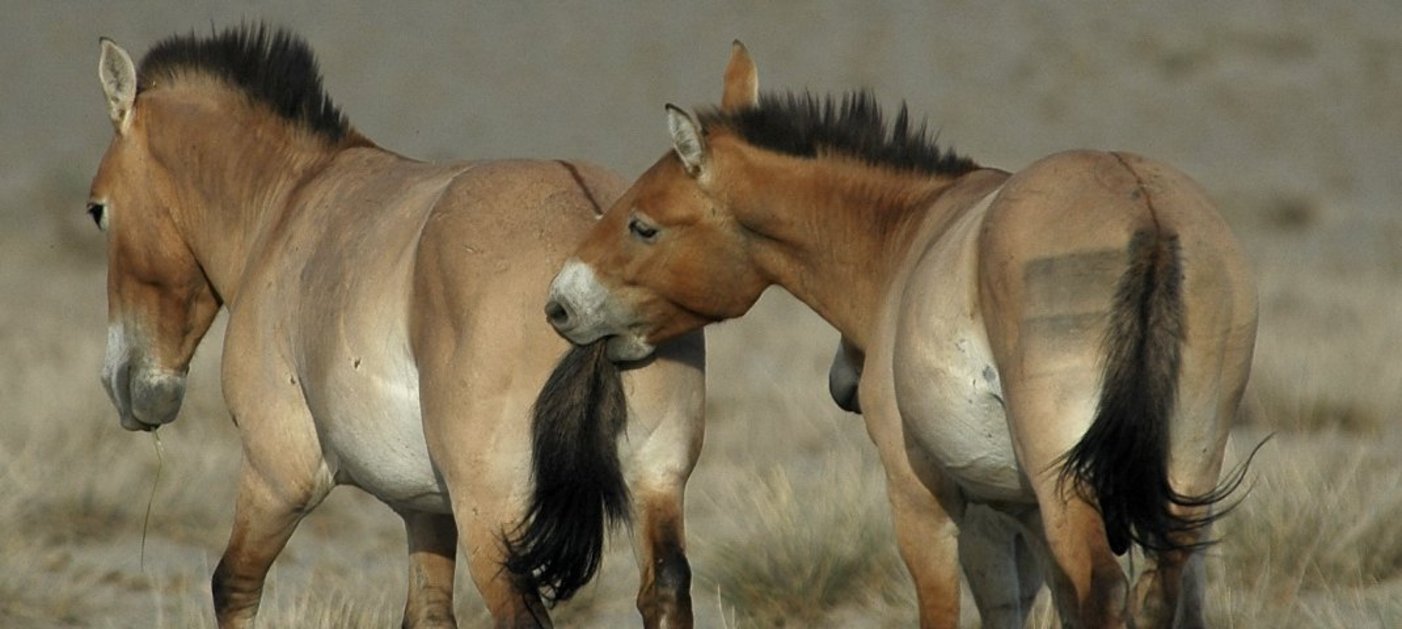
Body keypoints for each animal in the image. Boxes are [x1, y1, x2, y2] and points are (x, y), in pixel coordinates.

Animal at [86, 25, 706, 627]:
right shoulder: (425, 511)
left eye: (97, 209)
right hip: (654, 487)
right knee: (665, 592)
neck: (290, 202)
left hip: (491, 523)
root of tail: (590, 236)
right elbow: (427, 614)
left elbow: (232, 587)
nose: (123, 385)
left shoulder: (276, 477)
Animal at [527, 41, 1261, 624]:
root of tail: (1145, 209)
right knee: (1156, 596)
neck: (913, 232)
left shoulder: (927, 499)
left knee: (1105, 590)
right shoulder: (1019, 513)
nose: (560, 303)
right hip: (1182, 484)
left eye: (642, 225)